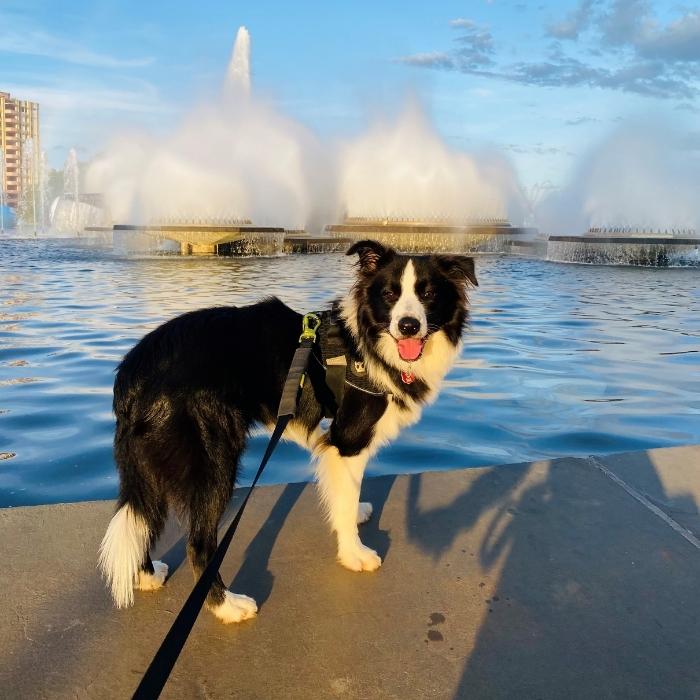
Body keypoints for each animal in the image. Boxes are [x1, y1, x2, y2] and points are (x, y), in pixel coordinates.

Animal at [98, 241, 478, 624]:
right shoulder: (347, 439)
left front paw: (354, 511)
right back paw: (227, 606)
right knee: (199, 543)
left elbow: (346, 493)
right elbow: (345, 498)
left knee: (143, 515)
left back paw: (147, 575)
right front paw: (354, 553)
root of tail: (133, 372)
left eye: (428, 294)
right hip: (214, 459)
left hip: (148, 461)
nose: (408, 326)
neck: (368, 342)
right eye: (390, 294)